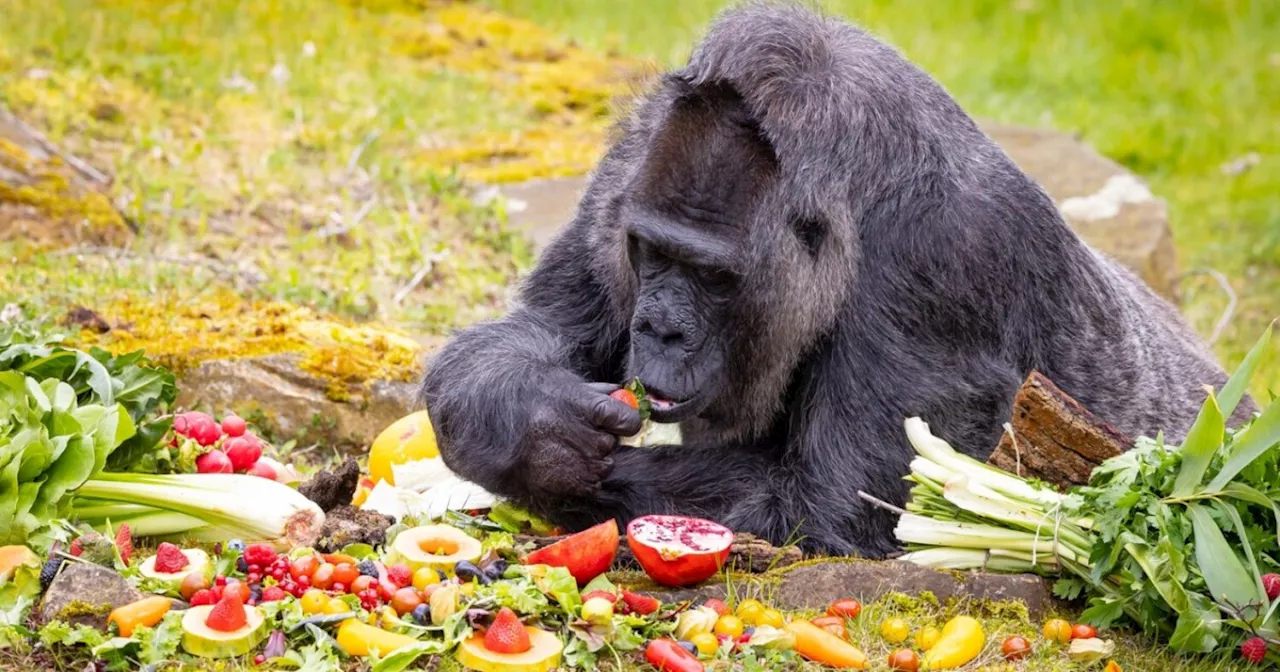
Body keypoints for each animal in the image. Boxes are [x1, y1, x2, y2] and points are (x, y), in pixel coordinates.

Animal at [419, 1, 1249, 555]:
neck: (857, 185)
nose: (657, 328)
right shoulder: (624, 171)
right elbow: (535, 332)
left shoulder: (944, 258)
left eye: (712, 276)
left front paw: (551, 469)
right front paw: (525, 426)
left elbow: (824, 508)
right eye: (652, 253)